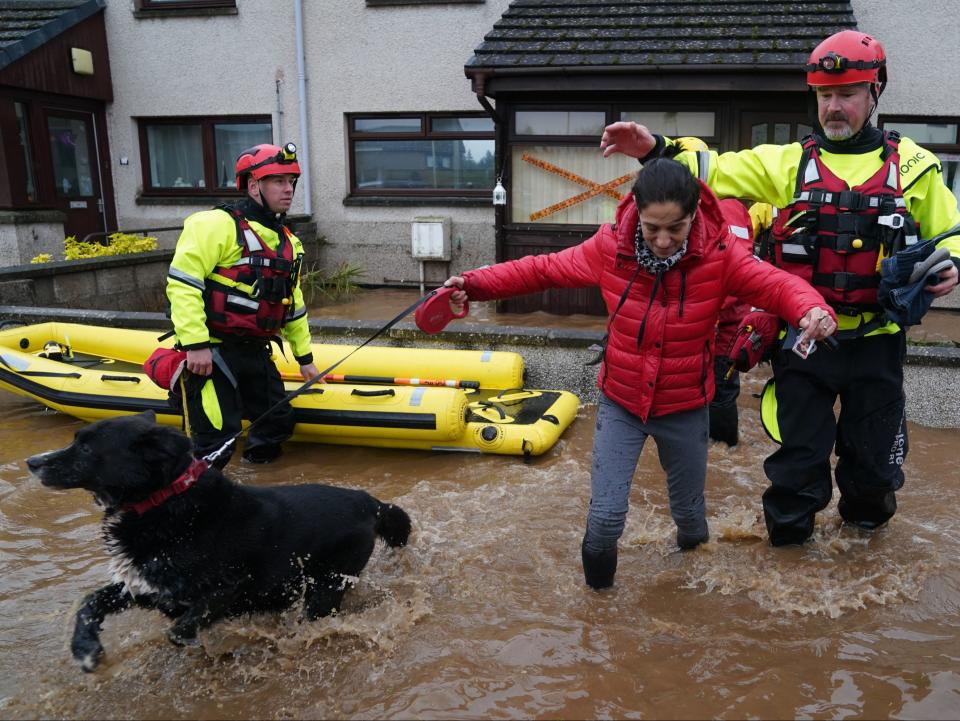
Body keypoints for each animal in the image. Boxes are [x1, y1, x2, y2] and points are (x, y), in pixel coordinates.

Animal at [28, 410, 410, 668]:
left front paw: (219, 647)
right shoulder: (146, 585)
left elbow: (179, 632)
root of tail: (370, 502)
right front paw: (85, 649)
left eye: (87, 448)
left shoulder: (226, 588)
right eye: (77, 441)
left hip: (326, 585)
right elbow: (90, 602)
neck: (165, 502)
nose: (32, 461)